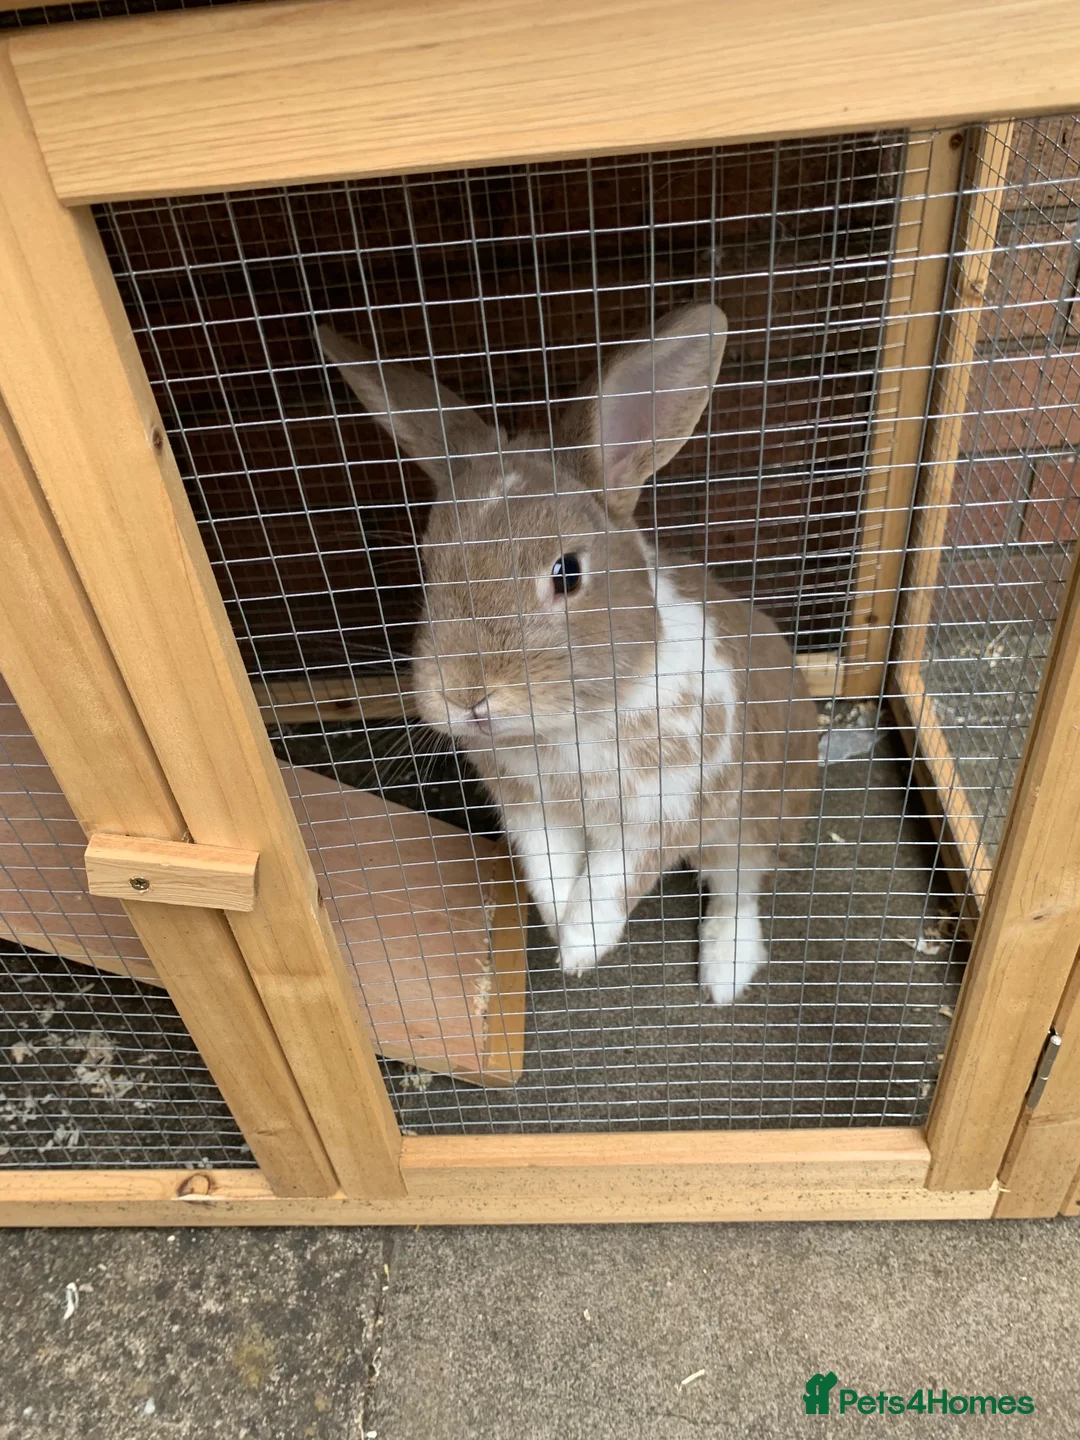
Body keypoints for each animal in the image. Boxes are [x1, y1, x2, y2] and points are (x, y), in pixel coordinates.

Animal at [319, 304, 819, 1005]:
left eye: (567, 573)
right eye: (428, 564)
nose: (467, 697)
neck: (569, 723)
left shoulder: (656, 813)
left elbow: (612, 883)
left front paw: (581, 950)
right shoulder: (532, 813)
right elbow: (551, 874)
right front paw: (559, 930)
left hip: (746, 824)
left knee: (737, 891)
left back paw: (725, 975)